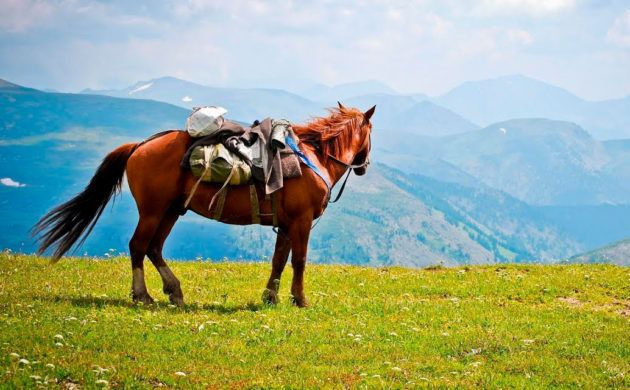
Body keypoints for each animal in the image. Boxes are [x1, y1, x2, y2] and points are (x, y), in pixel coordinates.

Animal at [33, 103, 376, 308]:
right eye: (371, 134)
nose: (364, 166)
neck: (315, 158)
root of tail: (140, 145)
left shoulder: (285, 225)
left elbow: (279, 260)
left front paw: (270, 297)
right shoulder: (301, 221)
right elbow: (299, 261)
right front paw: (299, 299)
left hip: (171, 210)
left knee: (154, 248)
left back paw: (174, 292)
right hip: (153, 211)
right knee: (138, 246)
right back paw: (143, 295)